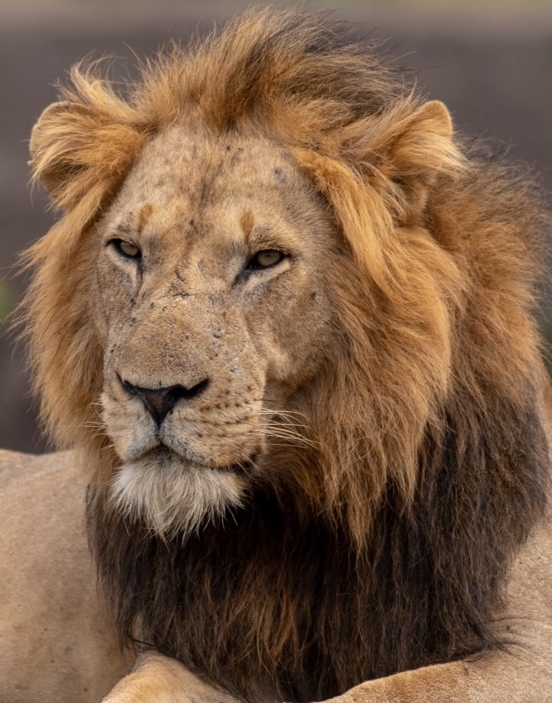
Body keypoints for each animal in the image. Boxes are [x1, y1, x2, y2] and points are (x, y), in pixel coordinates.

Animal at [1, 8, 552, 703]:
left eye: (265, 259)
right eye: (127, 250)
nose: (153, 393)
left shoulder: (530, 651)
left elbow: (382, 690)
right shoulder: (202, 653)